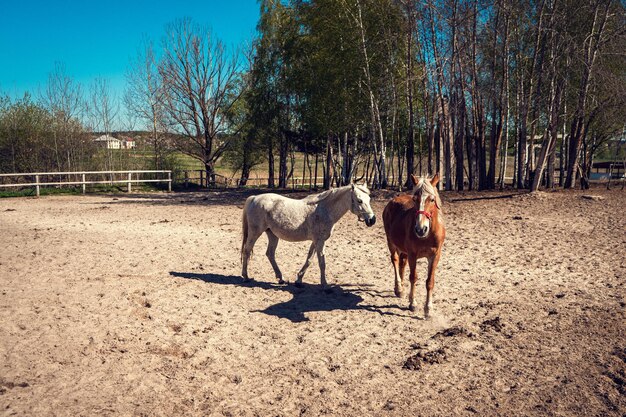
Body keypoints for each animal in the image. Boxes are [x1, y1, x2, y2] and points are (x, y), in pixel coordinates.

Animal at [241, 184, 372, 288]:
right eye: (359, 200)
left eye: (369, 199)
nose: (372, 219)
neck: (324, 210)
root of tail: (254, 198)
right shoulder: (320, 241)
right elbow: (322, 263)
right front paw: (325, 285)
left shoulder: (316, 241)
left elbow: (309, 259)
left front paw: (299, 280)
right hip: (255, 232)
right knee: (247, 251)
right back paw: (246, 276)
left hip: (272, 235)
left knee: (270, 254)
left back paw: (281, 278)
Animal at [380, 172, 444, 316]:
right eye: (415, 199)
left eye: (432, 199)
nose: (421, 229)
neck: (428, 235)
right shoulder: (413, 255)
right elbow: (414, 277)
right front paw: (413, 303)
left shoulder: (435, 256)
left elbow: (430, 282)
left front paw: (428, 309)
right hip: (391, 242)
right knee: (395, 260)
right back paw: (399, 288)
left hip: (403, 250)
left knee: (402, 263)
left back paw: (402, 289)